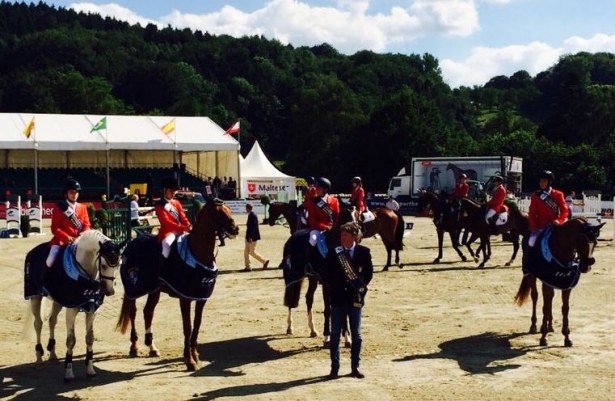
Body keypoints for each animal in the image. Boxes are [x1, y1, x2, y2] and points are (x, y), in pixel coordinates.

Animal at [23, 230, 125, 380]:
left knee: (52, 321)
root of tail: (32, 251)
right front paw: (69, 372)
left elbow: (90, 338)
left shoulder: (92, 309)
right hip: (35, 297)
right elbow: (71, 340)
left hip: (57, 300)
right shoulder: (71, 309)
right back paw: (39, 358)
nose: (110, 291)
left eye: (119, 264)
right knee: (38, 324)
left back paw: (52, 354)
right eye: (104, 265)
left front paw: (90, 370)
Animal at [115, 198, 241, 370]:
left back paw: (152, 347)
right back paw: (134, 347)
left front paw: (195, 354)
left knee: (148, 312)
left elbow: (197, 324)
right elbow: (187, 327)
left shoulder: (201, 298)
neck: (197, 253)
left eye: (229, 208)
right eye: (218, 211)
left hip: (154, 290)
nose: (235, 229)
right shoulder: (185, 298)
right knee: (133, 312)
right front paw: (189, 360)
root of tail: (133, 242)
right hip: (134, 288)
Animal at [516, 217, 608, 346]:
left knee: (550, 299)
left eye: (595, 242)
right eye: (581, 241)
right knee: (535, 296)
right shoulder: (547, 282)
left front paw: (566, 337)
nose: (587, 266)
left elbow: (565, 308)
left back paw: (550, 326)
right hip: (530, 274)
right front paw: (543, 337)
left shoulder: (565, 285)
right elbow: (545, 307)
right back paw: (534, 325)